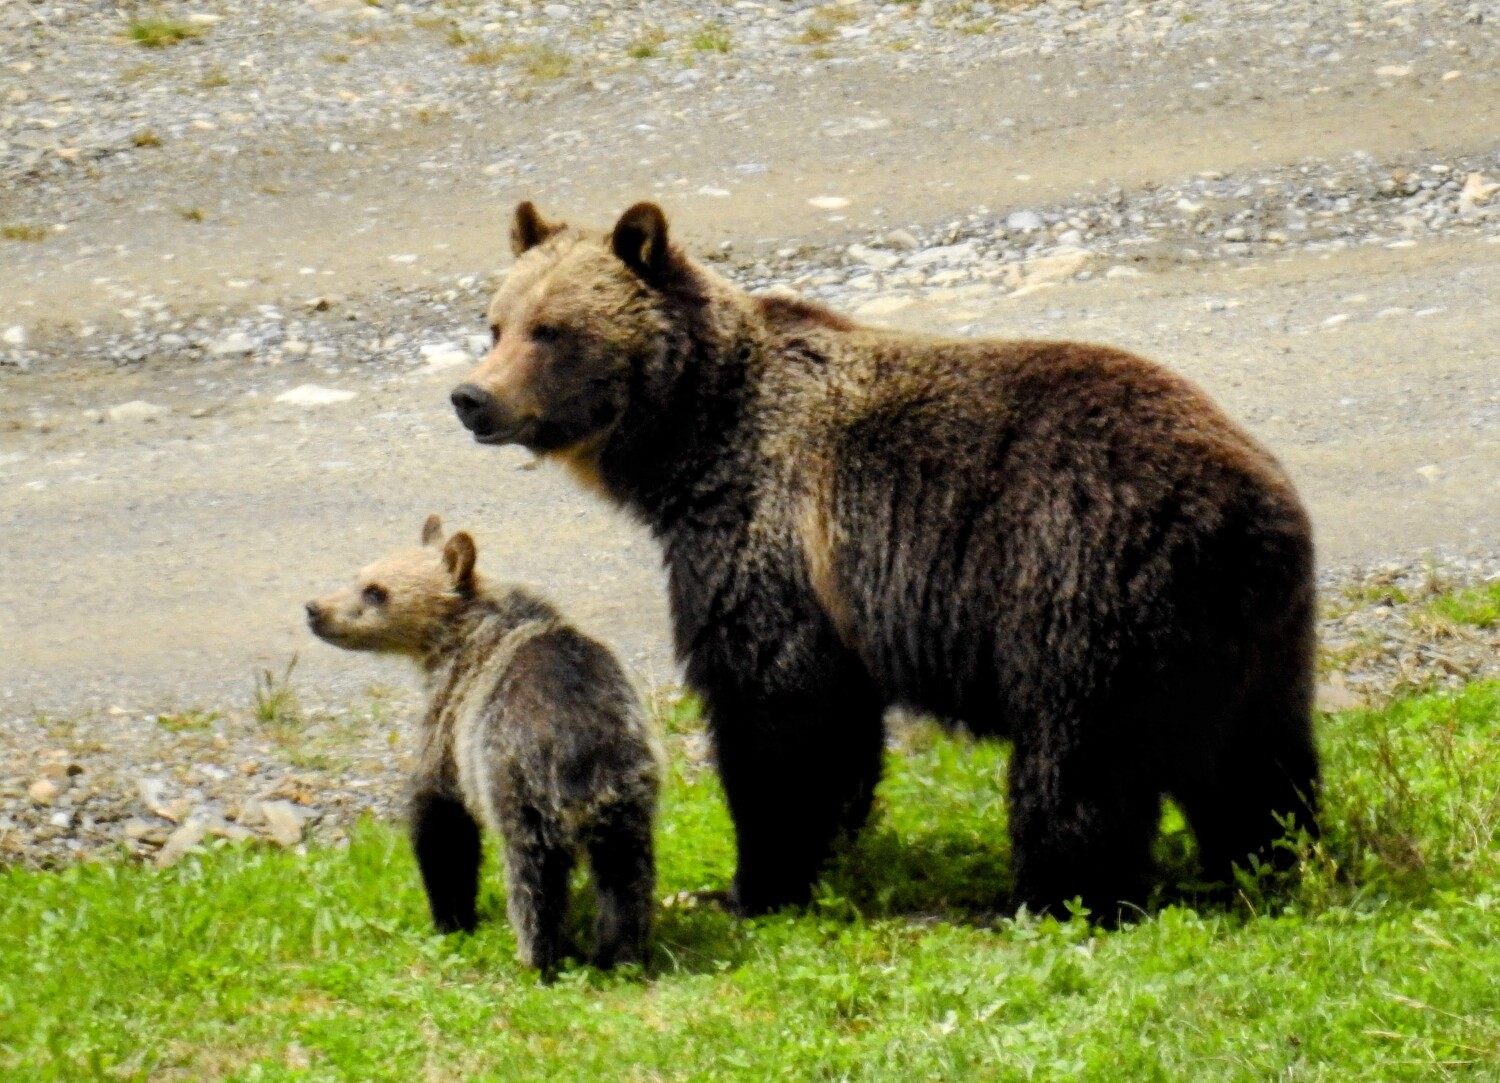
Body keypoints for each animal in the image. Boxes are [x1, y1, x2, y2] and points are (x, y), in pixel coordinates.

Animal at [306, 515, 660, 971]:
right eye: (358, 576)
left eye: (376, 591)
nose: (314, 609)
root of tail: (582, 750)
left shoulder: (450, 723)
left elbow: (440, 820)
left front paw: (450, 917)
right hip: (627, 791)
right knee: (625, 875)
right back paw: (620, 954)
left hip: (521, 786)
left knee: (534, 880)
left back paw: (538, 957)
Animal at [449, 201, 1320, 920]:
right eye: (496, 323)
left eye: (551, 330)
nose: (471, 397)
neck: (690, 440)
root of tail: (1248, 507)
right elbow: (837, 725)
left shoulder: (763, 533)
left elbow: (773, 706)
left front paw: (754, 880)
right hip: (1251, 634)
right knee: (1256, 755)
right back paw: (1264, 860)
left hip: (1083, 584)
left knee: (1079, 761)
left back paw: (1051, 894)